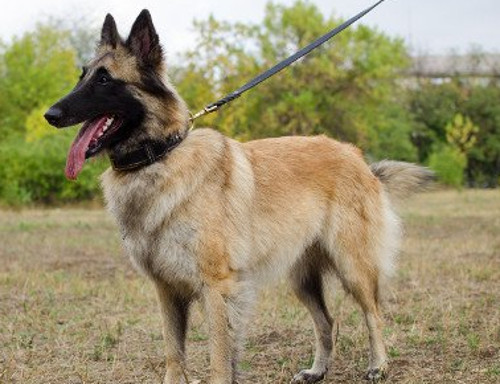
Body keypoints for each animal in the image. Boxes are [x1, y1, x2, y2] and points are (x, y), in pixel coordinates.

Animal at [46, 9, 434, 384]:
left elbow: (219, 359)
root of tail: (358, 157)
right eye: (82, 76)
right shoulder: (167, 291)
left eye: (104, 80)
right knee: (327, 321)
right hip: (301, 279)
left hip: (352, 265)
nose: (50, 115)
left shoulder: (218, 288)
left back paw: (378, 365)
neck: (159, 157)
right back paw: (317, 370)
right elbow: (174, 356)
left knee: (374, 313)